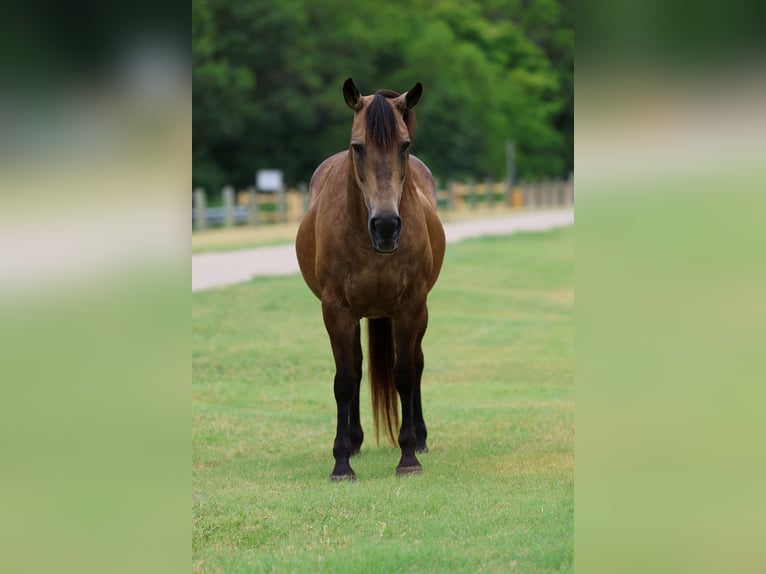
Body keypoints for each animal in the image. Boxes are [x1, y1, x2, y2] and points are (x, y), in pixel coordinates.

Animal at [295, 78, 445, 480]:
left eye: (404, 145)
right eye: (358, 147)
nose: (386, 226)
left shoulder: (410, 306)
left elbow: (404, 373)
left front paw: (408, 457)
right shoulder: (336, 310)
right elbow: (345, 380)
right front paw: (341, 462)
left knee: (417, 363)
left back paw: (420, 438)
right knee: (358, 368)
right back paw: (356, 441)